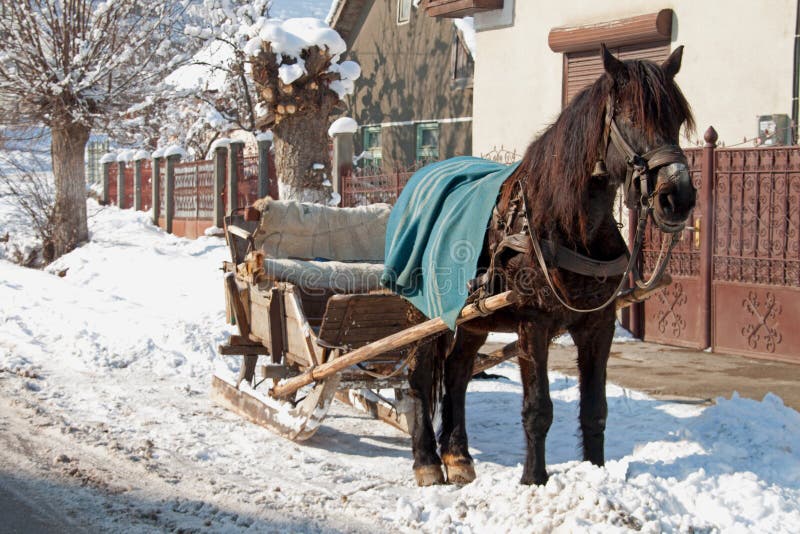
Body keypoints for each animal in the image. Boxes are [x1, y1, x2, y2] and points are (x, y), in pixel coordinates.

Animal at [406, 45, 692, 490]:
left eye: (677, 120)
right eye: (631, 118)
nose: (678, 198)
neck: (565, 223)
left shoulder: (598, 324)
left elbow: (595, 408)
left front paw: (596, 472)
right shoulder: (533, 323)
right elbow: (538, 408)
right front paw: (534, 479)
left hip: (472, 319)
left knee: (457, 372)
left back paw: (458, 456)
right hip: (422, 314)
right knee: (420, 376)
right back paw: (426, 461)